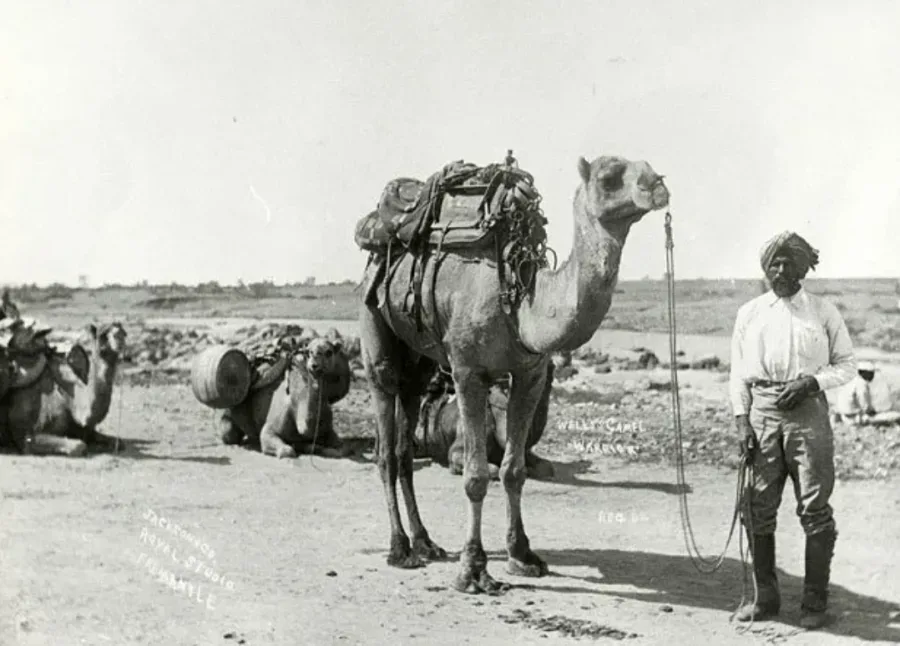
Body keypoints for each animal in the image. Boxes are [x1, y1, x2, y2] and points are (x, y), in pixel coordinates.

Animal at [0, 322, 128, 456]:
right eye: (103, 335)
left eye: (124, 333)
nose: (119, 339)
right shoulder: (26, 437)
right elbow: (79, 445)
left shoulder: (84, 430)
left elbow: (119, 442)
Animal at [220, 340, 354, 460]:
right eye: (308, 352)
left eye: (329, 352)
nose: (314, 365)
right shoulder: (271, 428)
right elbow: (286, 450)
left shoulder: (328, 428)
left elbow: (342, 449)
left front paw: (313, 447)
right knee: (229, 434)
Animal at [358, 154, 668, 596]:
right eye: (609, 177)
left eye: (649, 166)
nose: (657, 185)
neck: (521, 302)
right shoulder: (468, 371)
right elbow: (475, 475)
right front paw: (473, 569)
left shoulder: (530, 374)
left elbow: (514, 470)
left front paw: (522, 555)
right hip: (374, 321)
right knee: (384, 436)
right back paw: (400, 549)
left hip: (419, 361)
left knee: (404, 442)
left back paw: (425, 542)